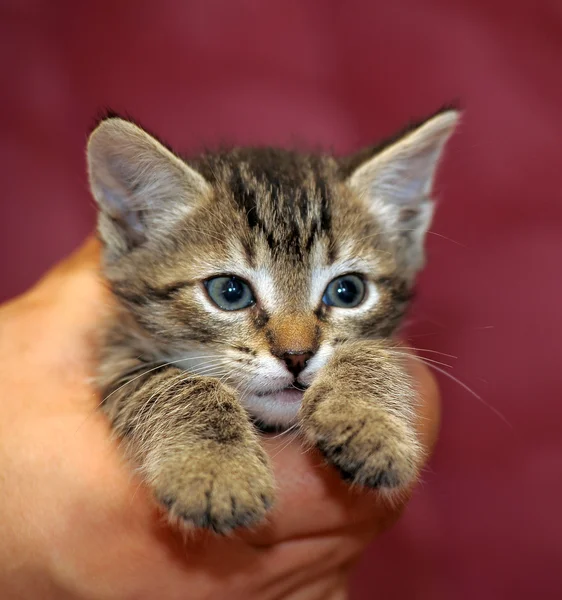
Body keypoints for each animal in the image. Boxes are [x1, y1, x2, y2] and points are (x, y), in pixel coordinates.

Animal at [86, 109, 456, 536]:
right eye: (229, 292)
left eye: (348, 291)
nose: (296, 356)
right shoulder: (114, 351)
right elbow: (166, 383)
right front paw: (215, 470)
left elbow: (371, 352)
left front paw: (368, 421)